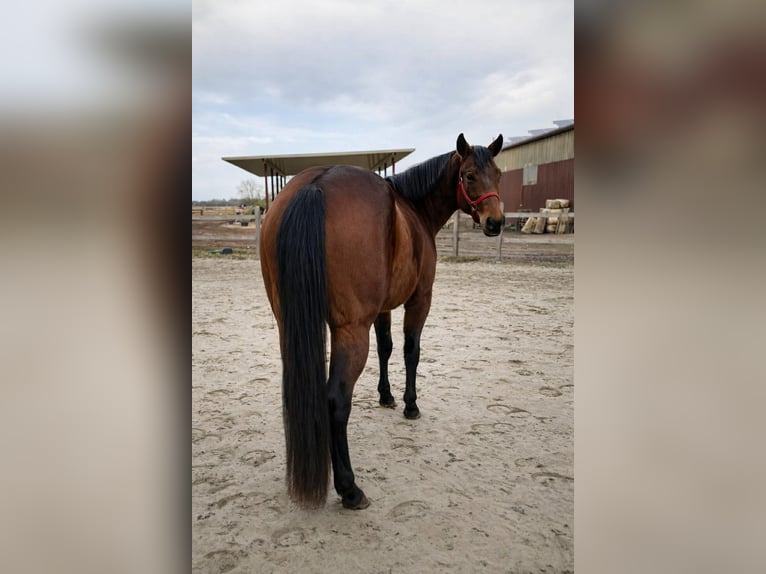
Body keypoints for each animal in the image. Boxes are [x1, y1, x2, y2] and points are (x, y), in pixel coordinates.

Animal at [259, 133, 504, 510]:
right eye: (469, 175)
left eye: (499, 174)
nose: (496, 222)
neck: (414, 210)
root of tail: (315, 185)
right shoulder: (420, 300)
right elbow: (410, 351)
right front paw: (410, 405)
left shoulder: (383, 309)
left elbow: (386, 349)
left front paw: (386, 396)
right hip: (351, 331)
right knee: (336, 400)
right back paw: (349, 488)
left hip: (288, 325)